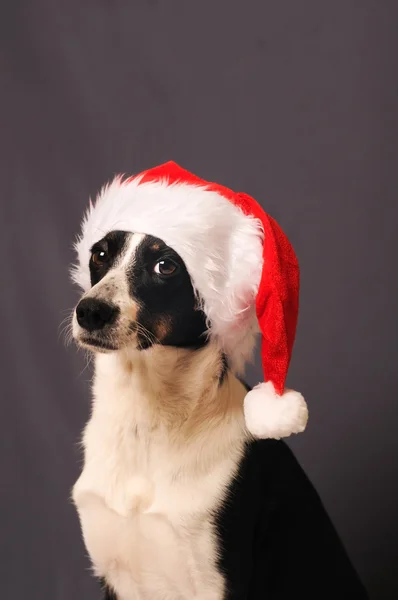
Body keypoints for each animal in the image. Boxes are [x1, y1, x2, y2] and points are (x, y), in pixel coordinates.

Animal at [70, 162, 368, 596]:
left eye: (165, 266)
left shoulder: (215, 582)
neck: (146, 419)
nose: (91, 311)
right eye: (100, 253)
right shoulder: (115, 575)